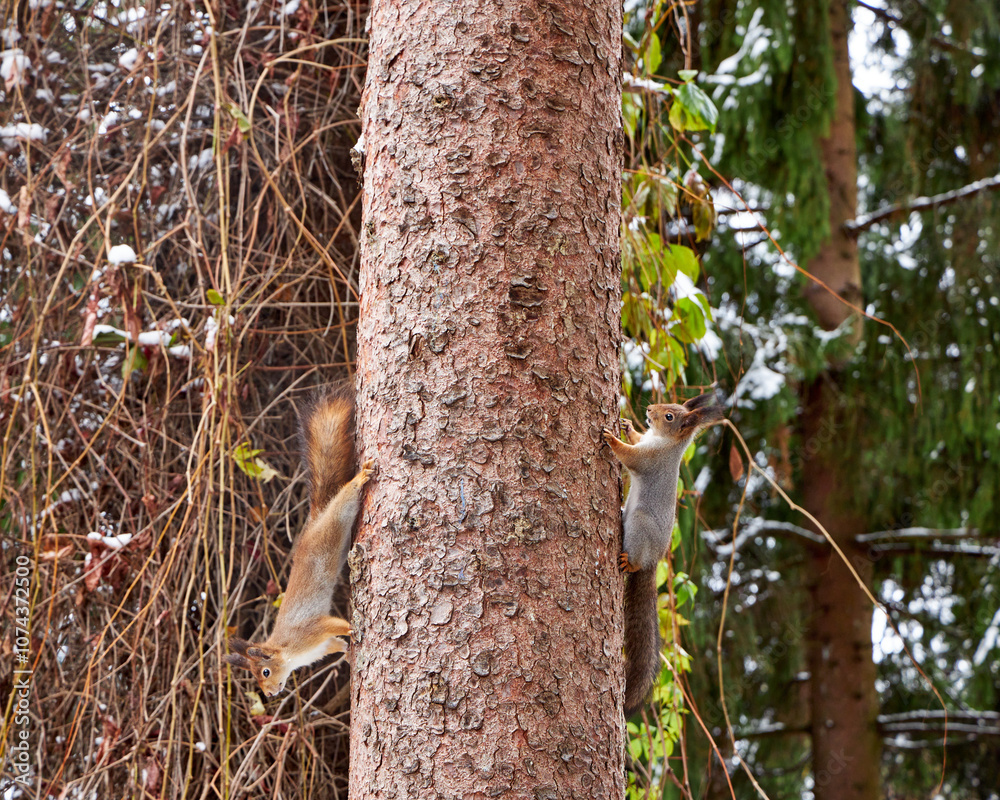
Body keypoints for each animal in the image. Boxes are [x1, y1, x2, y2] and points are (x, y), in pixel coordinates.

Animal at [223, 390, 374, 696]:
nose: (270, 694)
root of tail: (314, 522)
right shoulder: (322, 645)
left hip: (335, 520)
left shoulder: (312, 630)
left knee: (345, 498)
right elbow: (337, 644)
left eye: (265, 671)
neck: (290, 653)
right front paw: (348, 653)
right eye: (257, 678)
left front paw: (351, 628)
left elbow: (336, 624)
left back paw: (359, 479)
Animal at [602, 392, 724, 717]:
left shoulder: (651, 460)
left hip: (639, 523)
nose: (648, 409)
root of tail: (652, 561)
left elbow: (630, 457)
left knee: (634, 561)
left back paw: (629, 562)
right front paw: (627, 426)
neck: (663, 440)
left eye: (670, 416)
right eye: (668, 406)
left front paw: (612, 438)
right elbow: (636, 439)